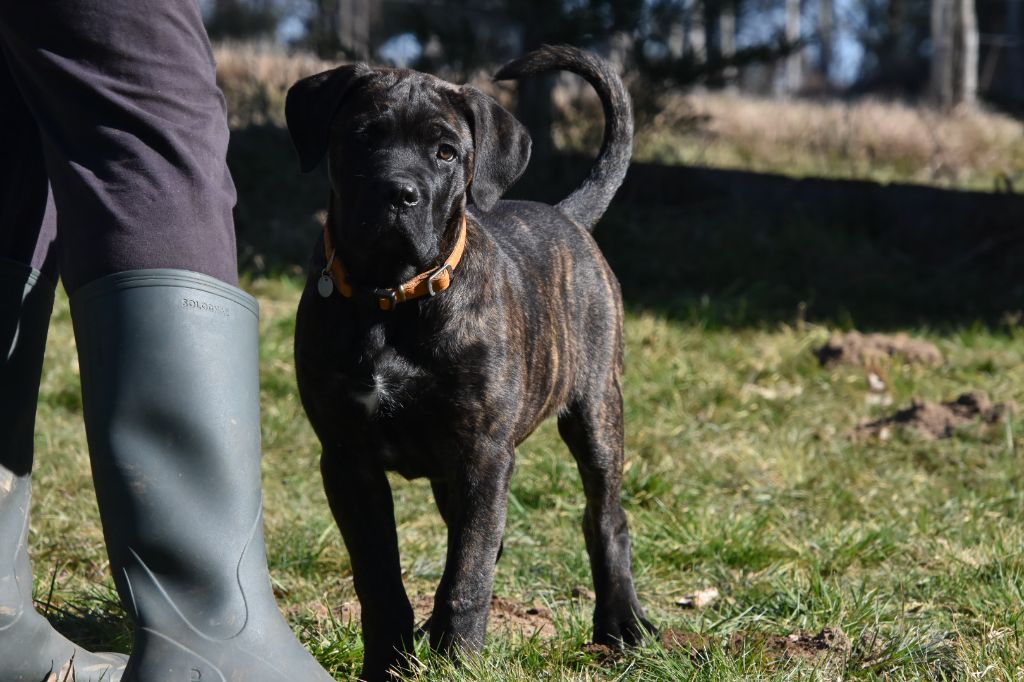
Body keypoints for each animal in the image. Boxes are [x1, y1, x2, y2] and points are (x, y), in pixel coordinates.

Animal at [286, 45, 655, 675]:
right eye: (362, 137)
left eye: (446, 152)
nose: (398, 193)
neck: (391, 297)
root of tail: (568, 216)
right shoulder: (347, 458)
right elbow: (380, 575)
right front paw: (389, 661)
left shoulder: (483, 455)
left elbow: (468, 574)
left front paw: (457, 660)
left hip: (598, 411)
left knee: (606, 519)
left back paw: (621, 625)